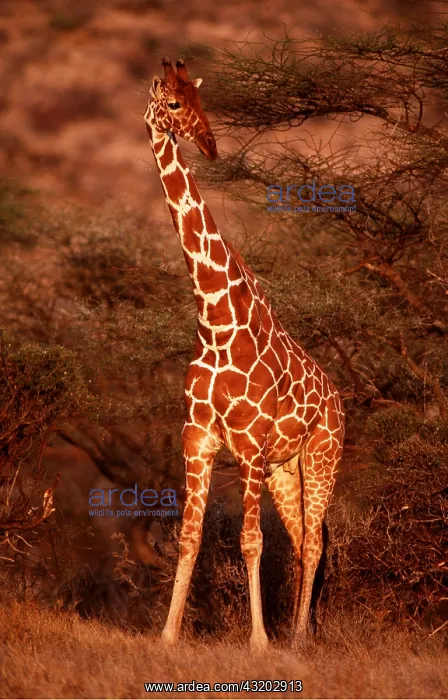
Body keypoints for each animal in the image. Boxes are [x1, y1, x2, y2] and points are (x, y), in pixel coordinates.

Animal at [144, 57, 345, 651]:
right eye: (173, 104)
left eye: (200, 102)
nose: (209, 146)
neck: (214, 317)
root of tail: (339, 401)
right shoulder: (197, 438)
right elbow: (189, 538)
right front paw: (166, 636)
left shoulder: (250, 446)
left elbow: (251, 541)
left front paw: (258, 642)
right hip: (285, 470)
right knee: (305, 540)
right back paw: (302, 632)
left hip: (322, 457)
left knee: (315, 541)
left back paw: (296, 640)